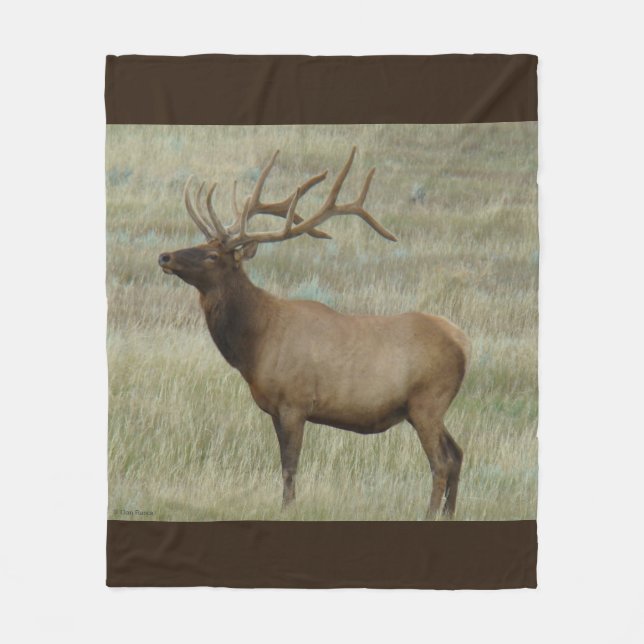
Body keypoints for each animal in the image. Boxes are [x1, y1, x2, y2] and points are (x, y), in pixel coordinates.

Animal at [158, 148, 469, 518]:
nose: (165, 256)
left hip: (428, 401)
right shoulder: (276, 409)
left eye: (211, 255)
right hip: (425, 408)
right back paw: (449, 514)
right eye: (201, 242)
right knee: (457, 453)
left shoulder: (294, 402)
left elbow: (289, 465)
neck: (254, 345)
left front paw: (287, 508)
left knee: (441, 461)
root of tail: (464, 343)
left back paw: (429, 514)